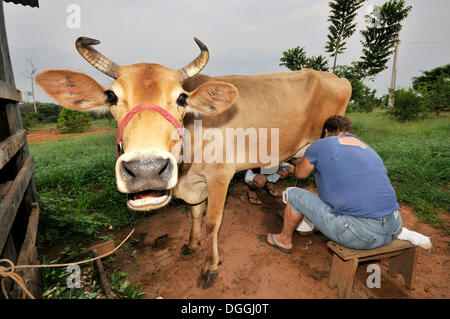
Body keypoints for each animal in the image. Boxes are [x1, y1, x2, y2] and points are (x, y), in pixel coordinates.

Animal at [37, 36, 352, 286]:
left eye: (181, 99)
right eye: (112, 96)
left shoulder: (220, 177)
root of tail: (337, 77)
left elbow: (212, 222)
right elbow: (194, 213)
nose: (146, 169)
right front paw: (191, 243)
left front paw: (211, 265)